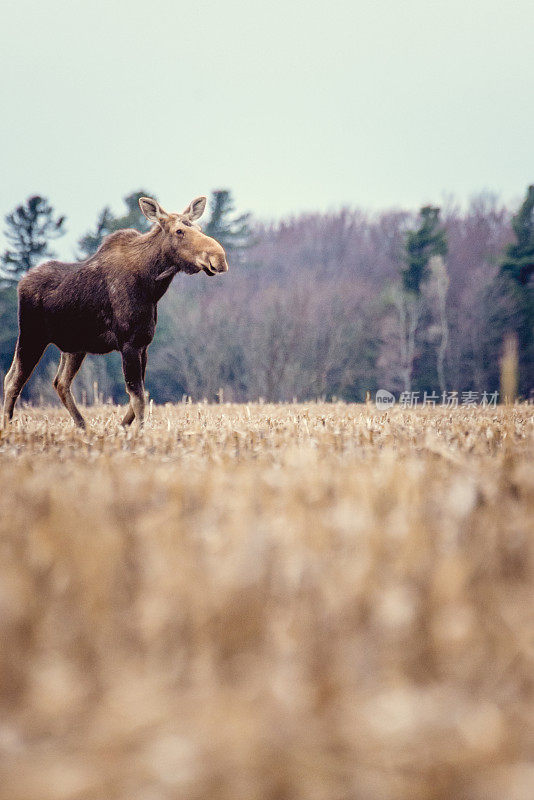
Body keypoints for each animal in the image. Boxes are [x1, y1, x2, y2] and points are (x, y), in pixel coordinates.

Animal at [1, 195, 228, 432]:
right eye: (179, 231)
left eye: (199, 228)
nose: (219, 258)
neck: (152, 285)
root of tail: (21, 283)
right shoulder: (129, 343)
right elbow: (138, 397)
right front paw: (138, 431)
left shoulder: (143, 344)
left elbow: (139, 396)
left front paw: (123, 427)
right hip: (31, 336)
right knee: (13, 379)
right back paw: (8, 426)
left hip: (73, 347)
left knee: (60, 382)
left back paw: (82, 425)